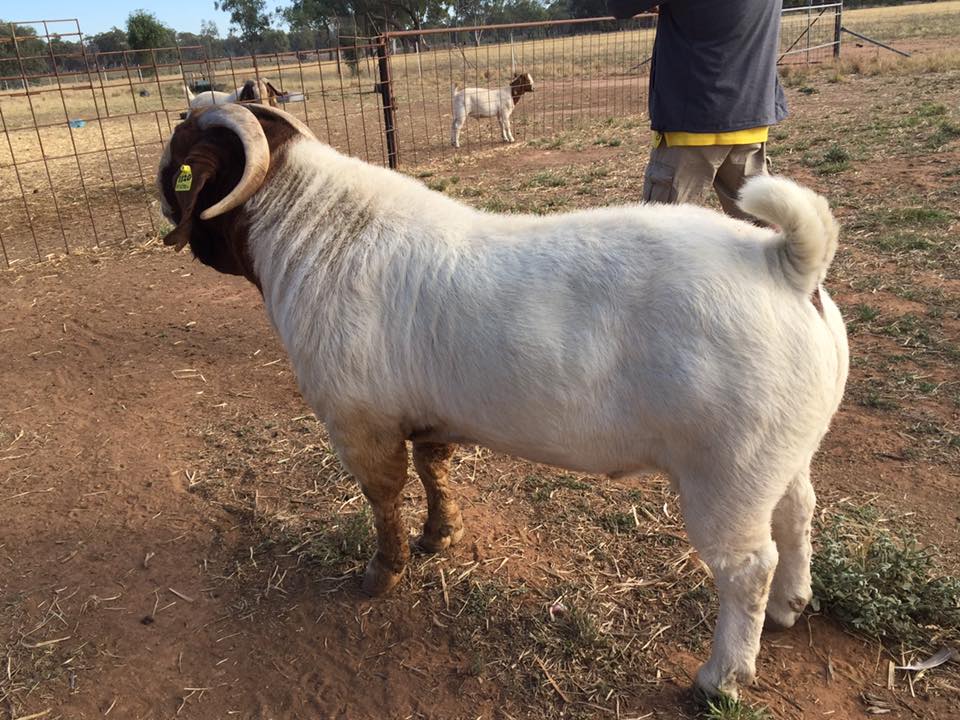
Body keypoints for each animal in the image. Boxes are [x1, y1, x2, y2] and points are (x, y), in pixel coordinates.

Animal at [157, 103, 848, 700]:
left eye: (182, 162)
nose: (167, 213)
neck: (318, 234)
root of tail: (788, 264)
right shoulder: (428, 417)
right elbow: (434, 468)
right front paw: (439, 537)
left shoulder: (359, 422)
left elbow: (385, 498)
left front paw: (381, 575)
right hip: (782, 452)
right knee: (798, 514)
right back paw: (790, 606)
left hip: (728, 471)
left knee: (747, 566)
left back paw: (721, 678)